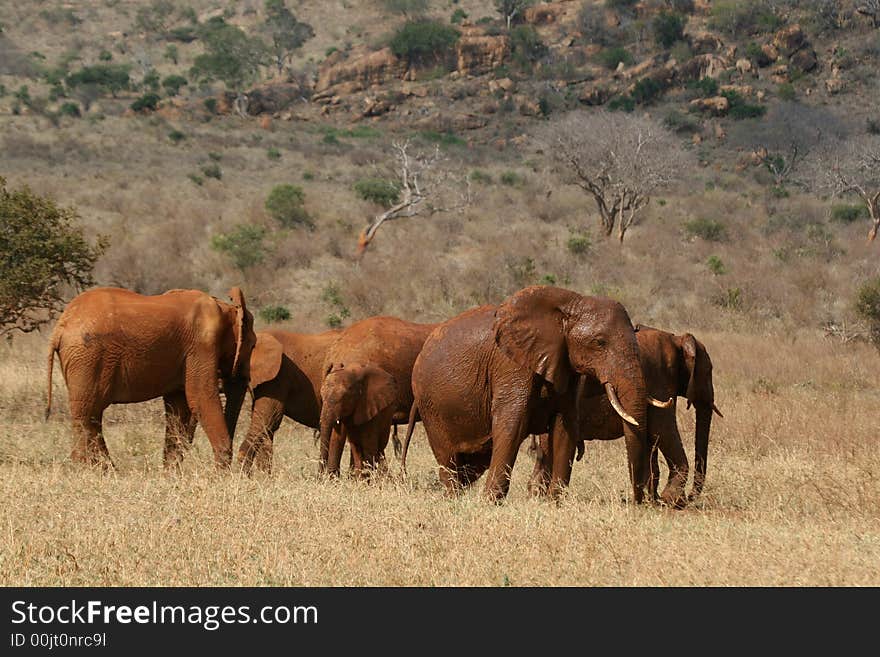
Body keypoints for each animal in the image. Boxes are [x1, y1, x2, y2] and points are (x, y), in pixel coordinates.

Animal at [46, 286, 256, 466]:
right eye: (253, 346)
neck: (226, 307)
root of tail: (60, 326)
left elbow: (178, 407)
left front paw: (171, 473)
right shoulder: (202, 344)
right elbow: (201, 396)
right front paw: (221, 473)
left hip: (82, 358)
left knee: (90, 415)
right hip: (88, 356)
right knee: (87, 413)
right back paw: (93, 470)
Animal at [402, 284, 648, 502]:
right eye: (599, 342)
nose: (636, 503)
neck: (569, 303)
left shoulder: (565, 364)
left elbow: (565, 426)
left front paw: (554, 503)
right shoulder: (511, 365)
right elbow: (513, 424)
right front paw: (490, 503)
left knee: (473, 465)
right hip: (431, 407)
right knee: (449, 461)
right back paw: (452, 499)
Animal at [528, 326, 720, 504]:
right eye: (709, 371)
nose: (690, 498)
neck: (677, 340)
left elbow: (651, 439)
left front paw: (655, 500)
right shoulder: (660, 378)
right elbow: (663, 430)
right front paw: (671, 501)